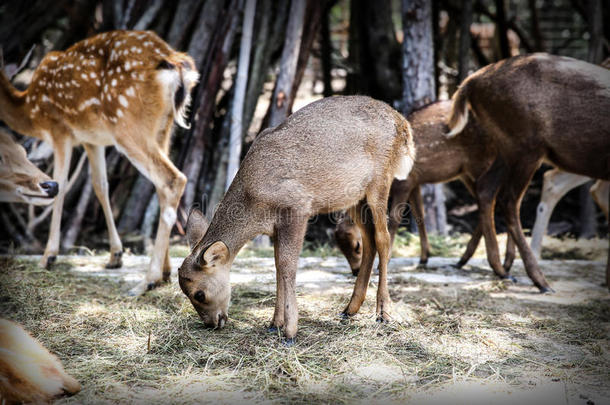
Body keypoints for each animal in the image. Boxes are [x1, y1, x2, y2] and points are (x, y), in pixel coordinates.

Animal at [0, 28, 198, 294]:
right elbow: (100, 186)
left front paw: (48, 257)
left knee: (173, 179)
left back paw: (146, 280)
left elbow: (60, 185)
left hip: (127, 125)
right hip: (162, 128)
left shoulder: (60, 130)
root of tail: (174, 63)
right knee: (161, 186)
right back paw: (164, 273)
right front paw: (115, 256)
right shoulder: (91, 140)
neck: (31, 109)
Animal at [177, 96, 414, 340]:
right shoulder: (275, 227)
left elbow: (287, 265)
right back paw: (349, 309)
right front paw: (274, 323)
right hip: (354, 197)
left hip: (381, 180)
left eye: (199, 294)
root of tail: (403, 124)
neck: (255, 203)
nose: (212, 323)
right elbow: (278, 266)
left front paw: (290, 330)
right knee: (368, 239)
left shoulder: (297, 208)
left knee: (383, 238)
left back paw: (383, 312)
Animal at [330, 100, 516, 278]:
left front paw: (384, 263)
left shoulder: (404, 183)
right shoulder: (414, 183)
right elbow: (419, 214)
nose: (355, 271)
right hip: (466, 172)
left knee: (494, 199)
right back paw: (471, 260)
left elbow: (395, 219)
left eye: (357, 246)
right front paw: (424, 257)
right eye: (340, 248)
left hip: (481, 163)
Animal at [442, 53, 608, 292]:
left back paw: (496, 267)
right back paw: (539, 279)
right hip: (526, 145)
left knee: (486, 188)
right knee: (510, 199)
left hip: (508, 149)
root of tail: (470, 82)